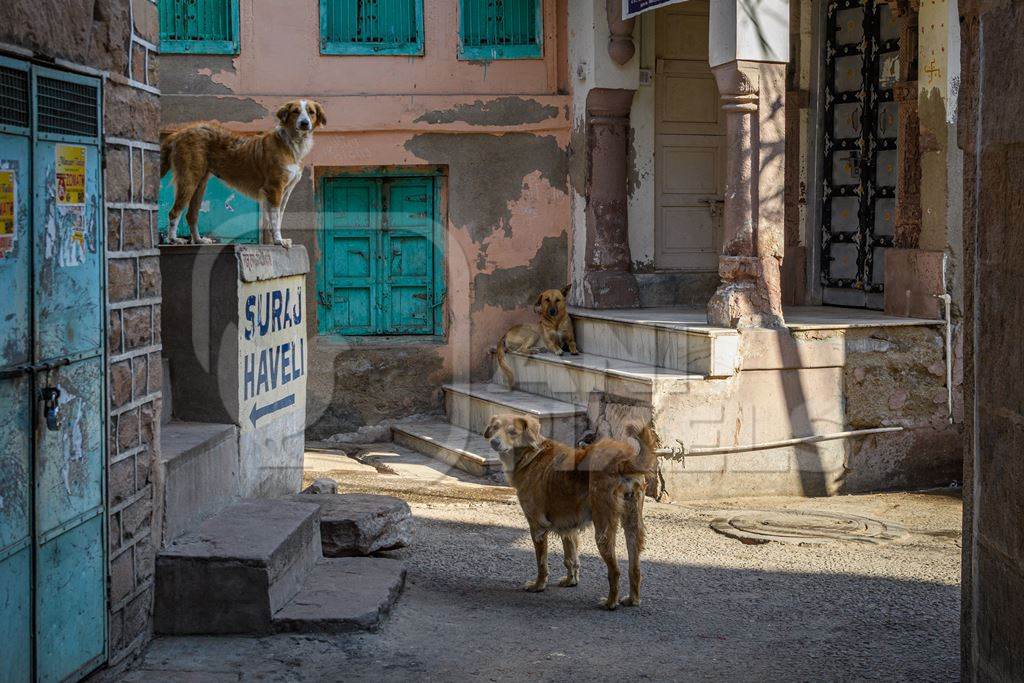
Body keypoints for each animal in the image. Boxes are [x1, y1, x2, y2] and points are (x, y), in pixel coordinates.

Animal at [157, 98, 325, 248]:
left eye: (311, 112)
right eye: (295, 111)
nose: (304, 123)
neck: (291, 142)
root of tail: (179, 132)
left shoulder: (285, 192)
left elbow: (277, 217)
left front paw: (276, 239)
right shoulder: (274, 188)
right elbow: (275, 218)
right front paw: (278, 241)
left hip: (200, 184)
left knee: (191, 215)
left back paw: (198, 240)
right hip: (189, 179)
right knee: (174, 212)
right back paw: (173, 239)